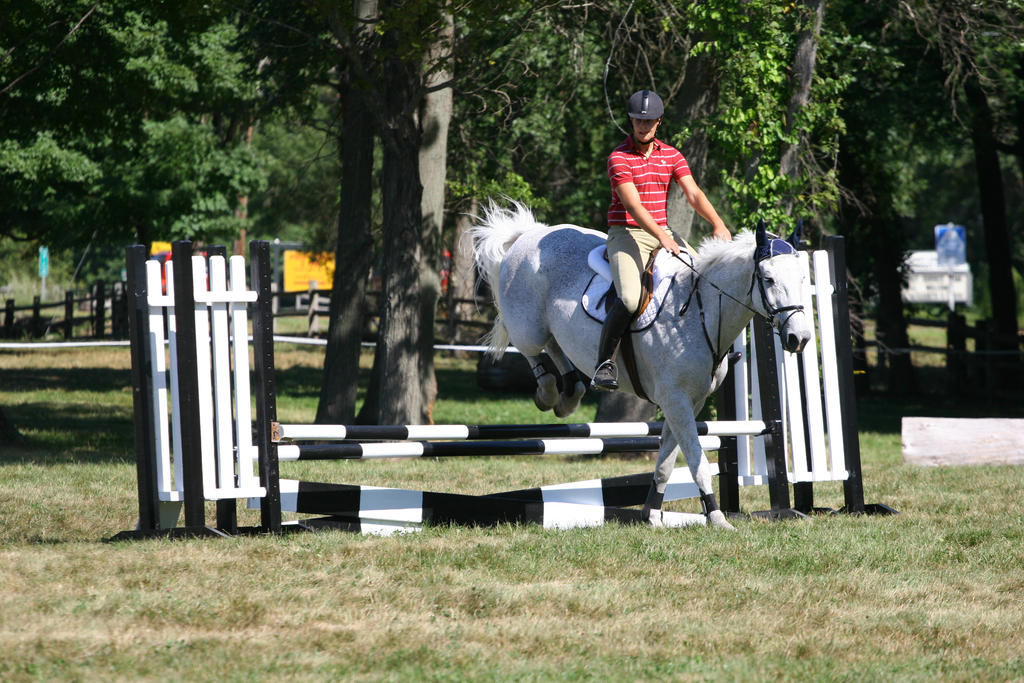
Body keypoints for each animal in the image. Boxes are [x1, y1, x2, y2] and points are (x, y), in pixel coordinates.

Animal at [468, 202, 811, 528]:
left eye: (803, 279)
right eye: (768, 279)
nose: (800, 338)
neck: (700, 312)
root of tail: (530, 233)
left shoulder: (688, 402)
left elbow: (666, 464)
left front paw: (653, 515)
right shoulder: (676, 400)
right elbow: (697, 462)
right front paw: (717, 518)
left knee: (555, 346)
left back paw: (570, 393)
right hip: (528, 326)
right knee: (529, 345)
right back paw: (550, 392)